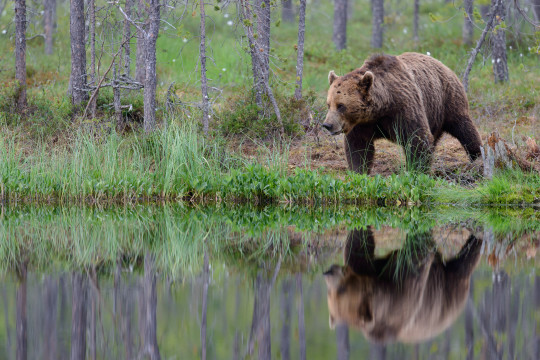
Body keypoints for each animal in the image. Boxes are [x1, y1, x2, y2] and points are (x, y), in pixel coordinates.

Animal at [322, 51, 484, 173]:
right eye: (328, 104)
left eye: (341, 105)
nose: (327, 125)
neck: (381, 107)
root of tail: (443, 65)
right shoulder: (362, 124)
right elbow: (358, 147)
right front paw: (359, 171)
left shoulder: (403, 109)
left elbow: (417, 139)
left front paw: (416, 170)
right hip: (434, 114)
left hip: (448, 99)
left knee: (464, 128)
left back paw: (478, 158)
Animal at [322, 228, 484, 344]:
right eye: (330, 293)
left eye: (342, 290)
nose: (328, 273)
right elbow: (359, 248)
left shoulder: (404, 295)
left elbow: (415, 256)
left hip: (448, 291)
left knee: (462, 266)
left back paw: (477, 239)